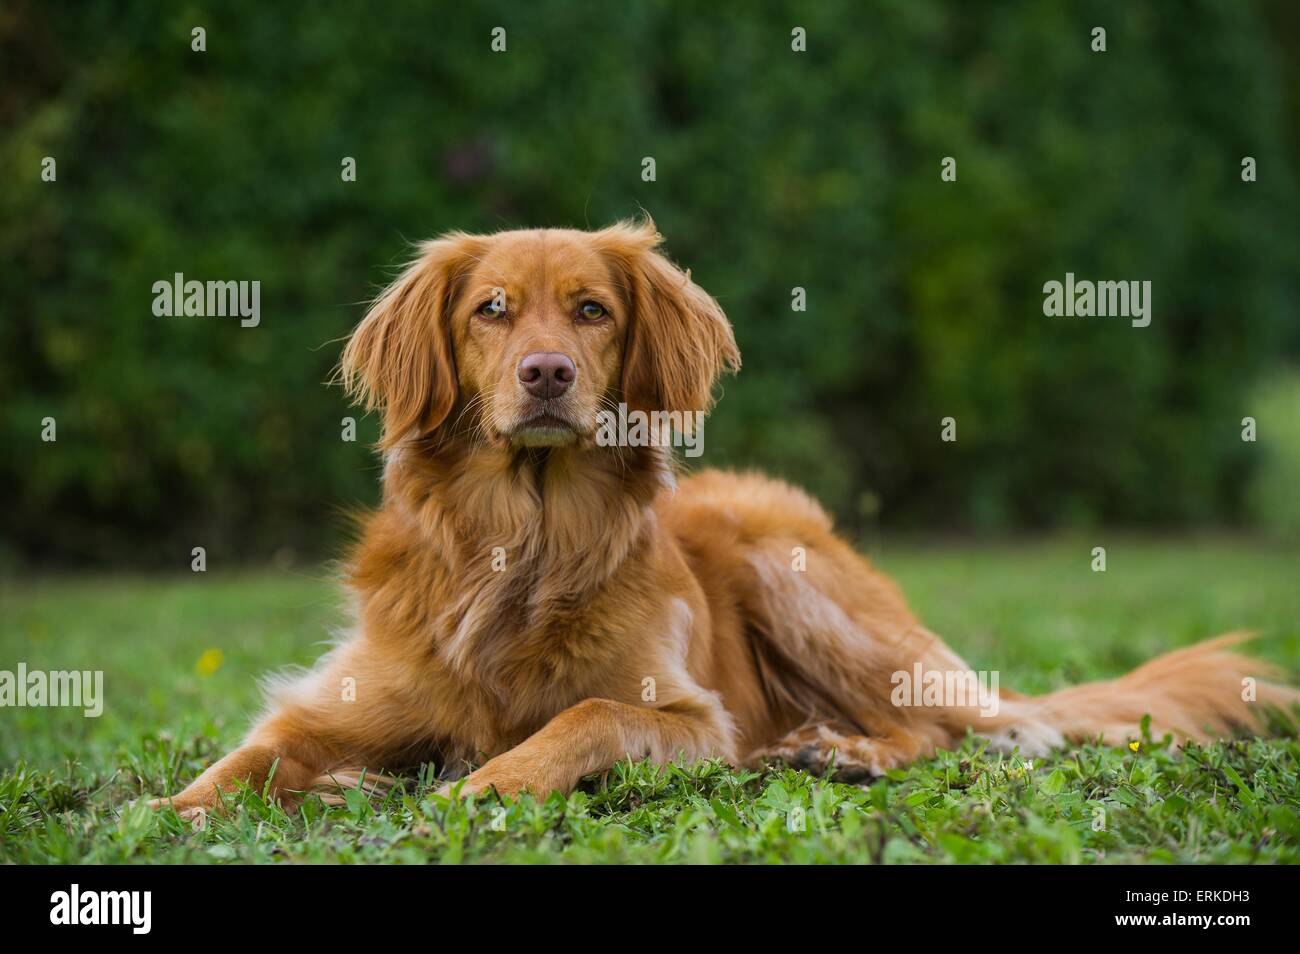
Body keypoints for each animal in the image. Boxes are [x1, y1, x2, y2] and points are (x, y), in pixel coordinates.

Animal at [147, 220, 1294, 816]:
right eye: (491, 311)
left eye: (593, 309)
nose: (548, 372)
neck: (522, 546)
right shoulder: (334, 704)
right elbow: (250, 757)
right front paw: (166, 813)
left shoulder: (695, 718)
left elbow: (584, 714)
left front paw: (485, 784)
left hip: (792, 572)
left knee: (946, 730)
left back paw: (837, 752)